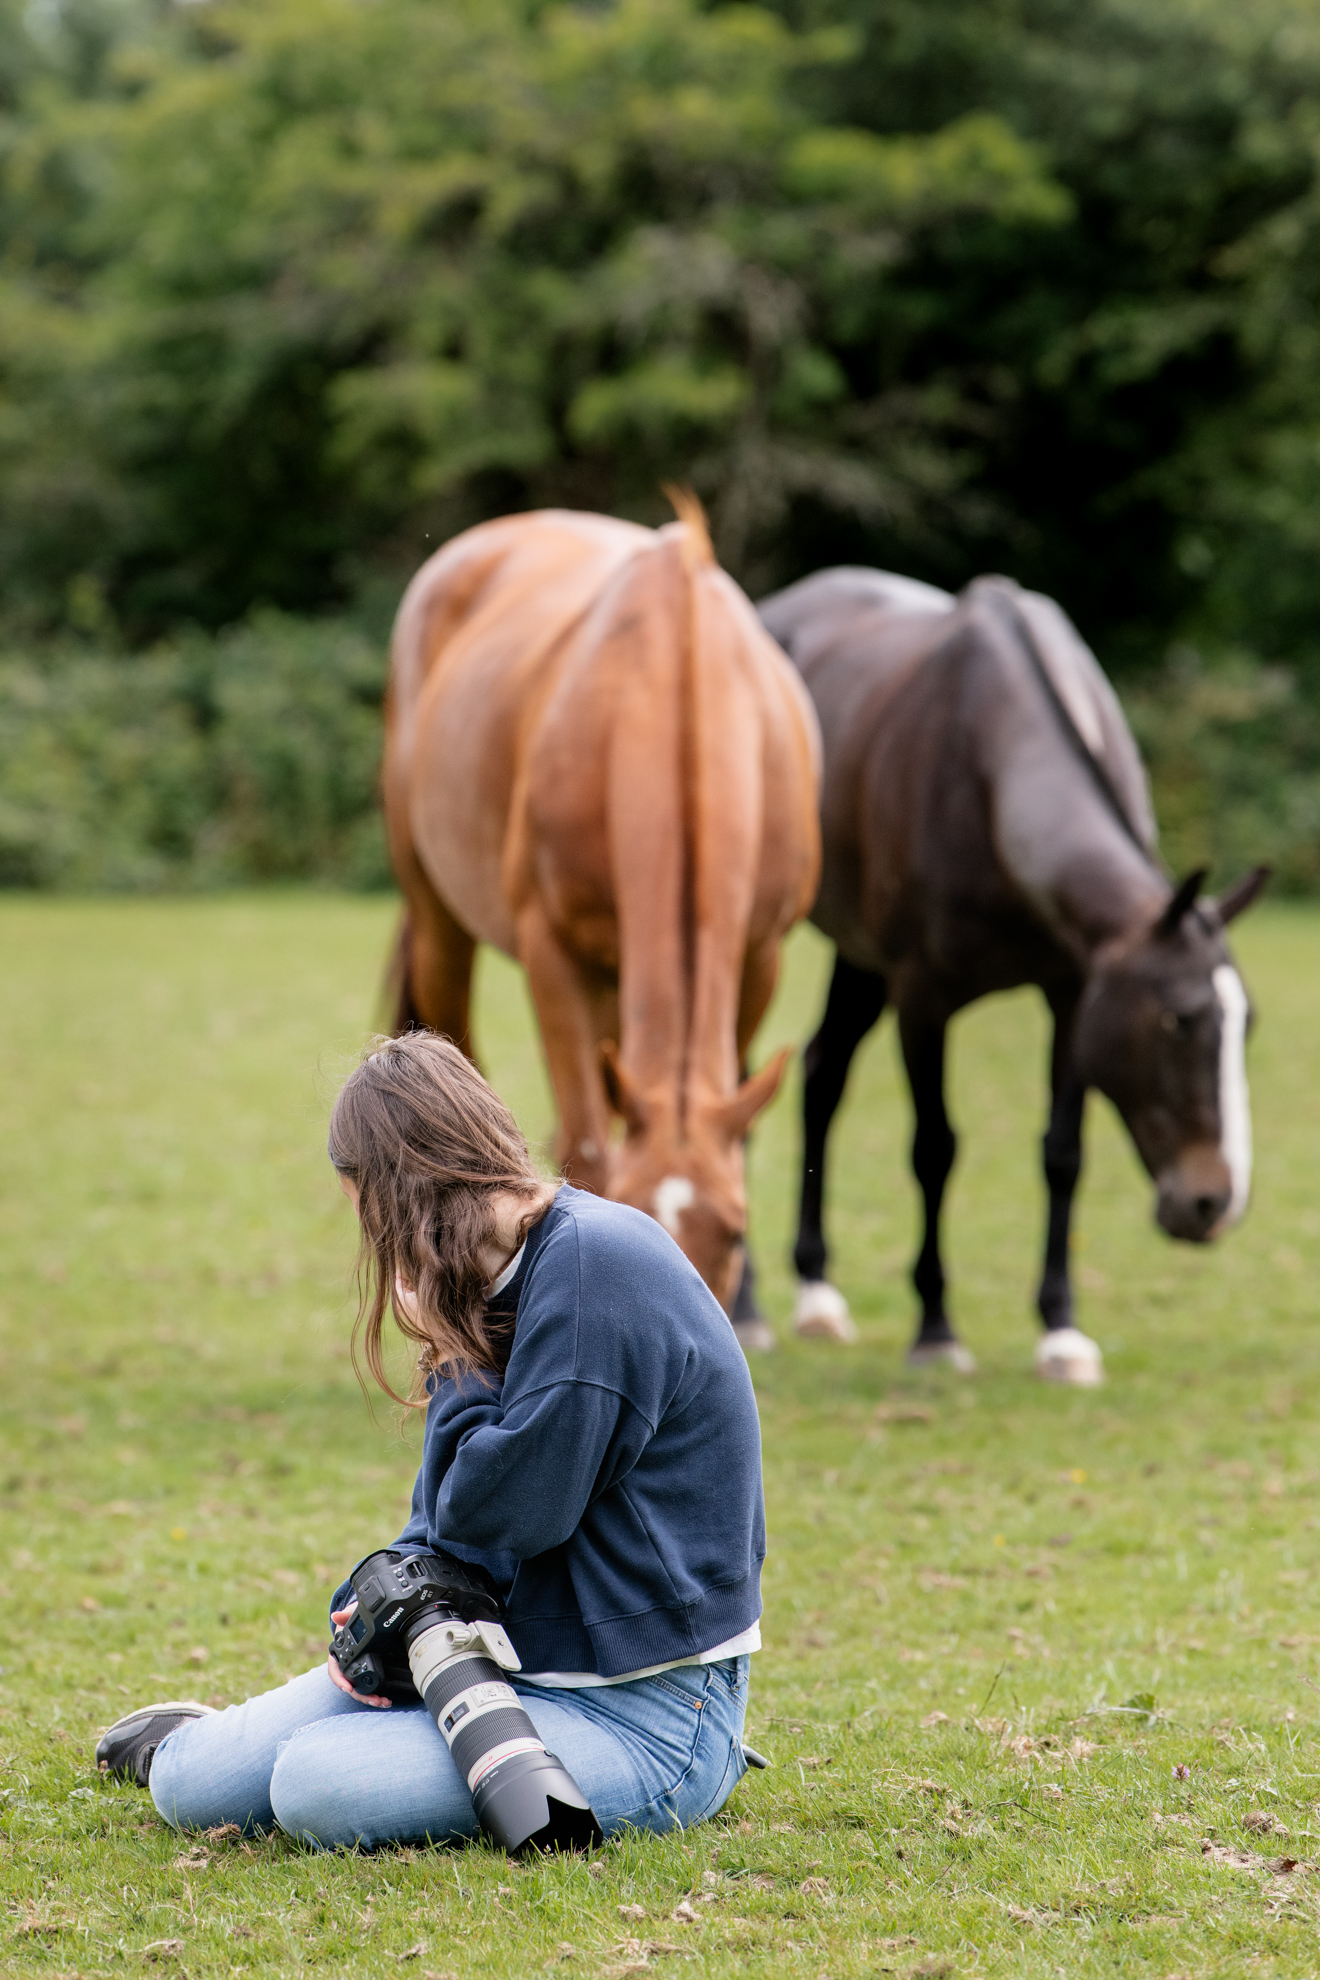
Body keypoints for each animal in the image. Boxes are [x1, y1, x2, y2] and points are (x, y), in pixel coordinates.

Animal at [383, 503, 821, 1339]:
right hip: (440, 922)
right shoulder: (552, 956)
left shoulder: (759, 959)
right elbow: (587, 1146)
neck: (673, 677)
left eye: (736, 1232)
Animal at [758, 566, 1268, 1384]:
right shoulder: (923, 999)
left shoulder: (1074, 995)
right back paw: (746, 1306)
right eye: (1177, 1020)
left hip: (860, 957)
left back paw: (817, 1295)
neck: (992, 771)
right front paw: (936, 1329)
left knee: (821, 1074)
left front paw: (1061, 1330)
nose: (1213, 1204)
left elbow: (1062, 1154)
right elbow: (934, 1150)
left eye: (1245, 1026)